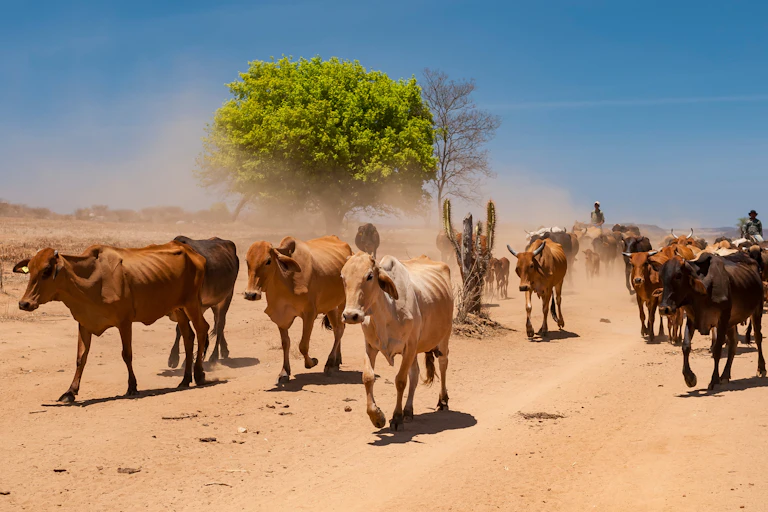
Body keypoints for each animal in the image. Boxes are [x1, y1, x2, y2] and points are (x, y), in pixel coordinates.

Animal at [13, 243, 210, 402]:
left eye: (47, 270)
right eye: (30, 269)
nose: (24, 303)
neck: (92, 279)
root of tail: (192, 252)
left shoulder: (124, 322)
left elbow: (127, 354)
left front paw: (132, 387)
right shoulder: (84, 323)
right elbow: (80, 357)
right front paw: (70, 392)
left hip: (191, 303)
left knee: (202, 329)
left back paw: (199, 375)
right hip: (178, 309)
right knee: (188, 336)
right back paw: (185, 380)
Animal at [167, 236, 239, 368]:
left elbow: (182, 329)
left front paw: (178, 359)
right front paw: (175, 358)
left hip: (226, 297)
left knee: (220, 324)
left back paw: (214, 357)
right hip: (214, 302)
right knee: (217, 322)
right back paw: (224, 350)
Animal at [244, 236, 351, 383]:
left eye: (268, 261)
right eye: (247, 261)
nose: (250, 294)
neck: (287, 280)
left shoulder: (309, 314)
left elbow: (303, 346)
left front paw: (312, 362)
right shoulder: (281, 316)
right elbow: (285, 343)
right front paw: (284, 372)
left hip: (342, 303)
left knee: (339, 330)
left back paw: (330, 363)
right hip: (330, 305)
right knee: (338, 329)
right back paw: (336, 360)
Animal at [340, 253, 453, 431]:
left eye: (369, 276)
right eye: (342, 277)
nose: (351, 315)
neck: (387, 313)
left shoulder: (409, 347)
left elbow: (400, 380)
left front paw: (397, 417)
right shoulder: (370, 347)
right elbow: (368, 377)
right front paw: (377, 416)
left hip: (443, 337)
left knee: (443, 364)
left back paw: (442, 401)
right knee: (415, 375)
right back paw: (408, 411)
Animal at [657, 252, 765, 390]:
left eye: (678, 275)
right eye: (661, 277)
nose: (663, 309)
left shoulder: (722, 318)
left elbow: (717, 348)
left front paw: (714, 380)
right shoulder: (692, 318)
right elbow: (686, 346)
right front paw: (690, 378)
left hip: (756, 310)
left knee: (757, 337)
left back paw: (761, 369)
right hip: (732, 321)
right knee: (733, 343)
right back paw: (725, 376)